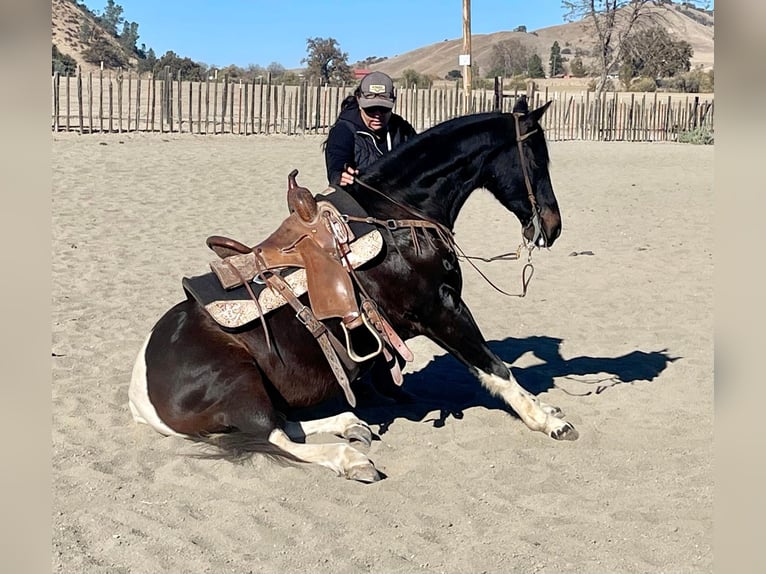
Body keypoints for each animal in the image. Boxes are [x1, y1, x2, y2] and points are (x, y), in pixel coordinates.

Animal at [129, 98, 580, 482]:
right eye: (537, 158)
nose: (554, 225)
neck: (398, 215)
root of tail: (141, 395)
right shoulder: (441, 309)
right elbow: (495, 368)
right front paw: (549, 420)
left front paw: (547, 407)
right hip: (238, 381)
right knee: (273, 435)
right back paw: (350, 457)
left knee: (285, 424)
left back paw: (351, 425)